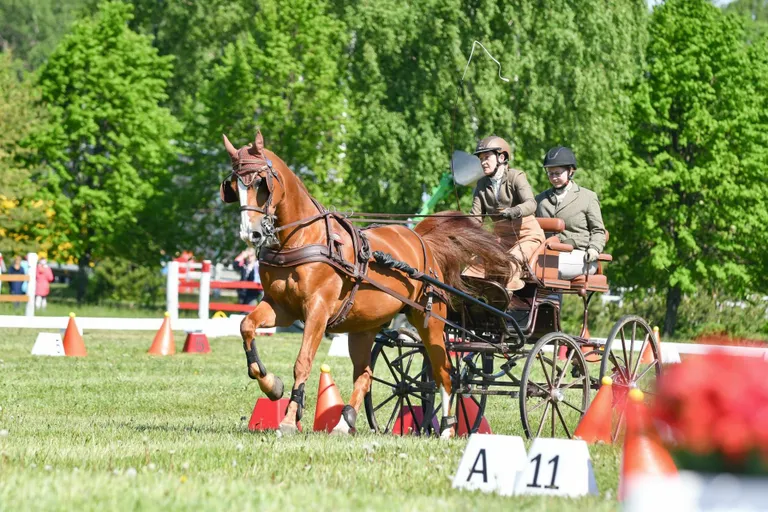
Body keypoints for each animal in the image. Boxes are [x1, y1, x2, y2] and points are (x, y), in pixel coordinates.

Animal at [220, 131, 510, 436]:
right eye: (233, 186)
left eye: (260, 183)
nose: (250, 233)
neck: (302, 238)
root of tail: (422, 240)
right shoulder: (281, 308)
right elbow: (246, 326)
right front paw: (272, 386)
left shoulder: (317, 312)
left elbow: (303, 362)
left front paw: (288, 419)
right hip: (363, 327)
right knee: (366, 374)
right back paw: (344, 422)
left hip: (430, 320)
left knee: (444, 372)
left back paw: (446, 429)